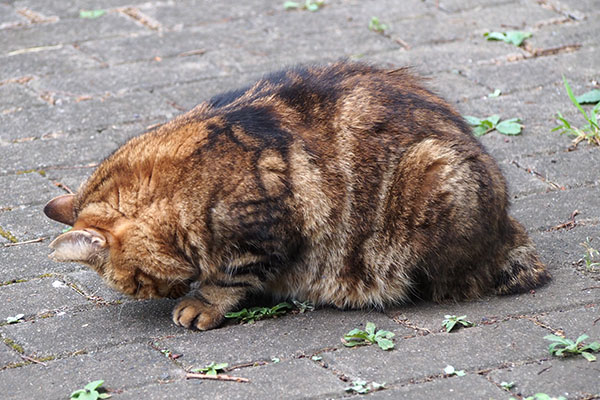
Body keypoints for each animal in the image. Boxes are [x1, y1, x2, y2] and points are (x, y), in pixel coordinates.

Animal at [42, 61, 552, 330]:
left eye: (136, 283)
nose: (164, 293)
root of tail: (507, 228)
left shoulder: (264, 233)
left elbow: (227, 278)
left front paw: (200, 303)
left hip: (432, 171)